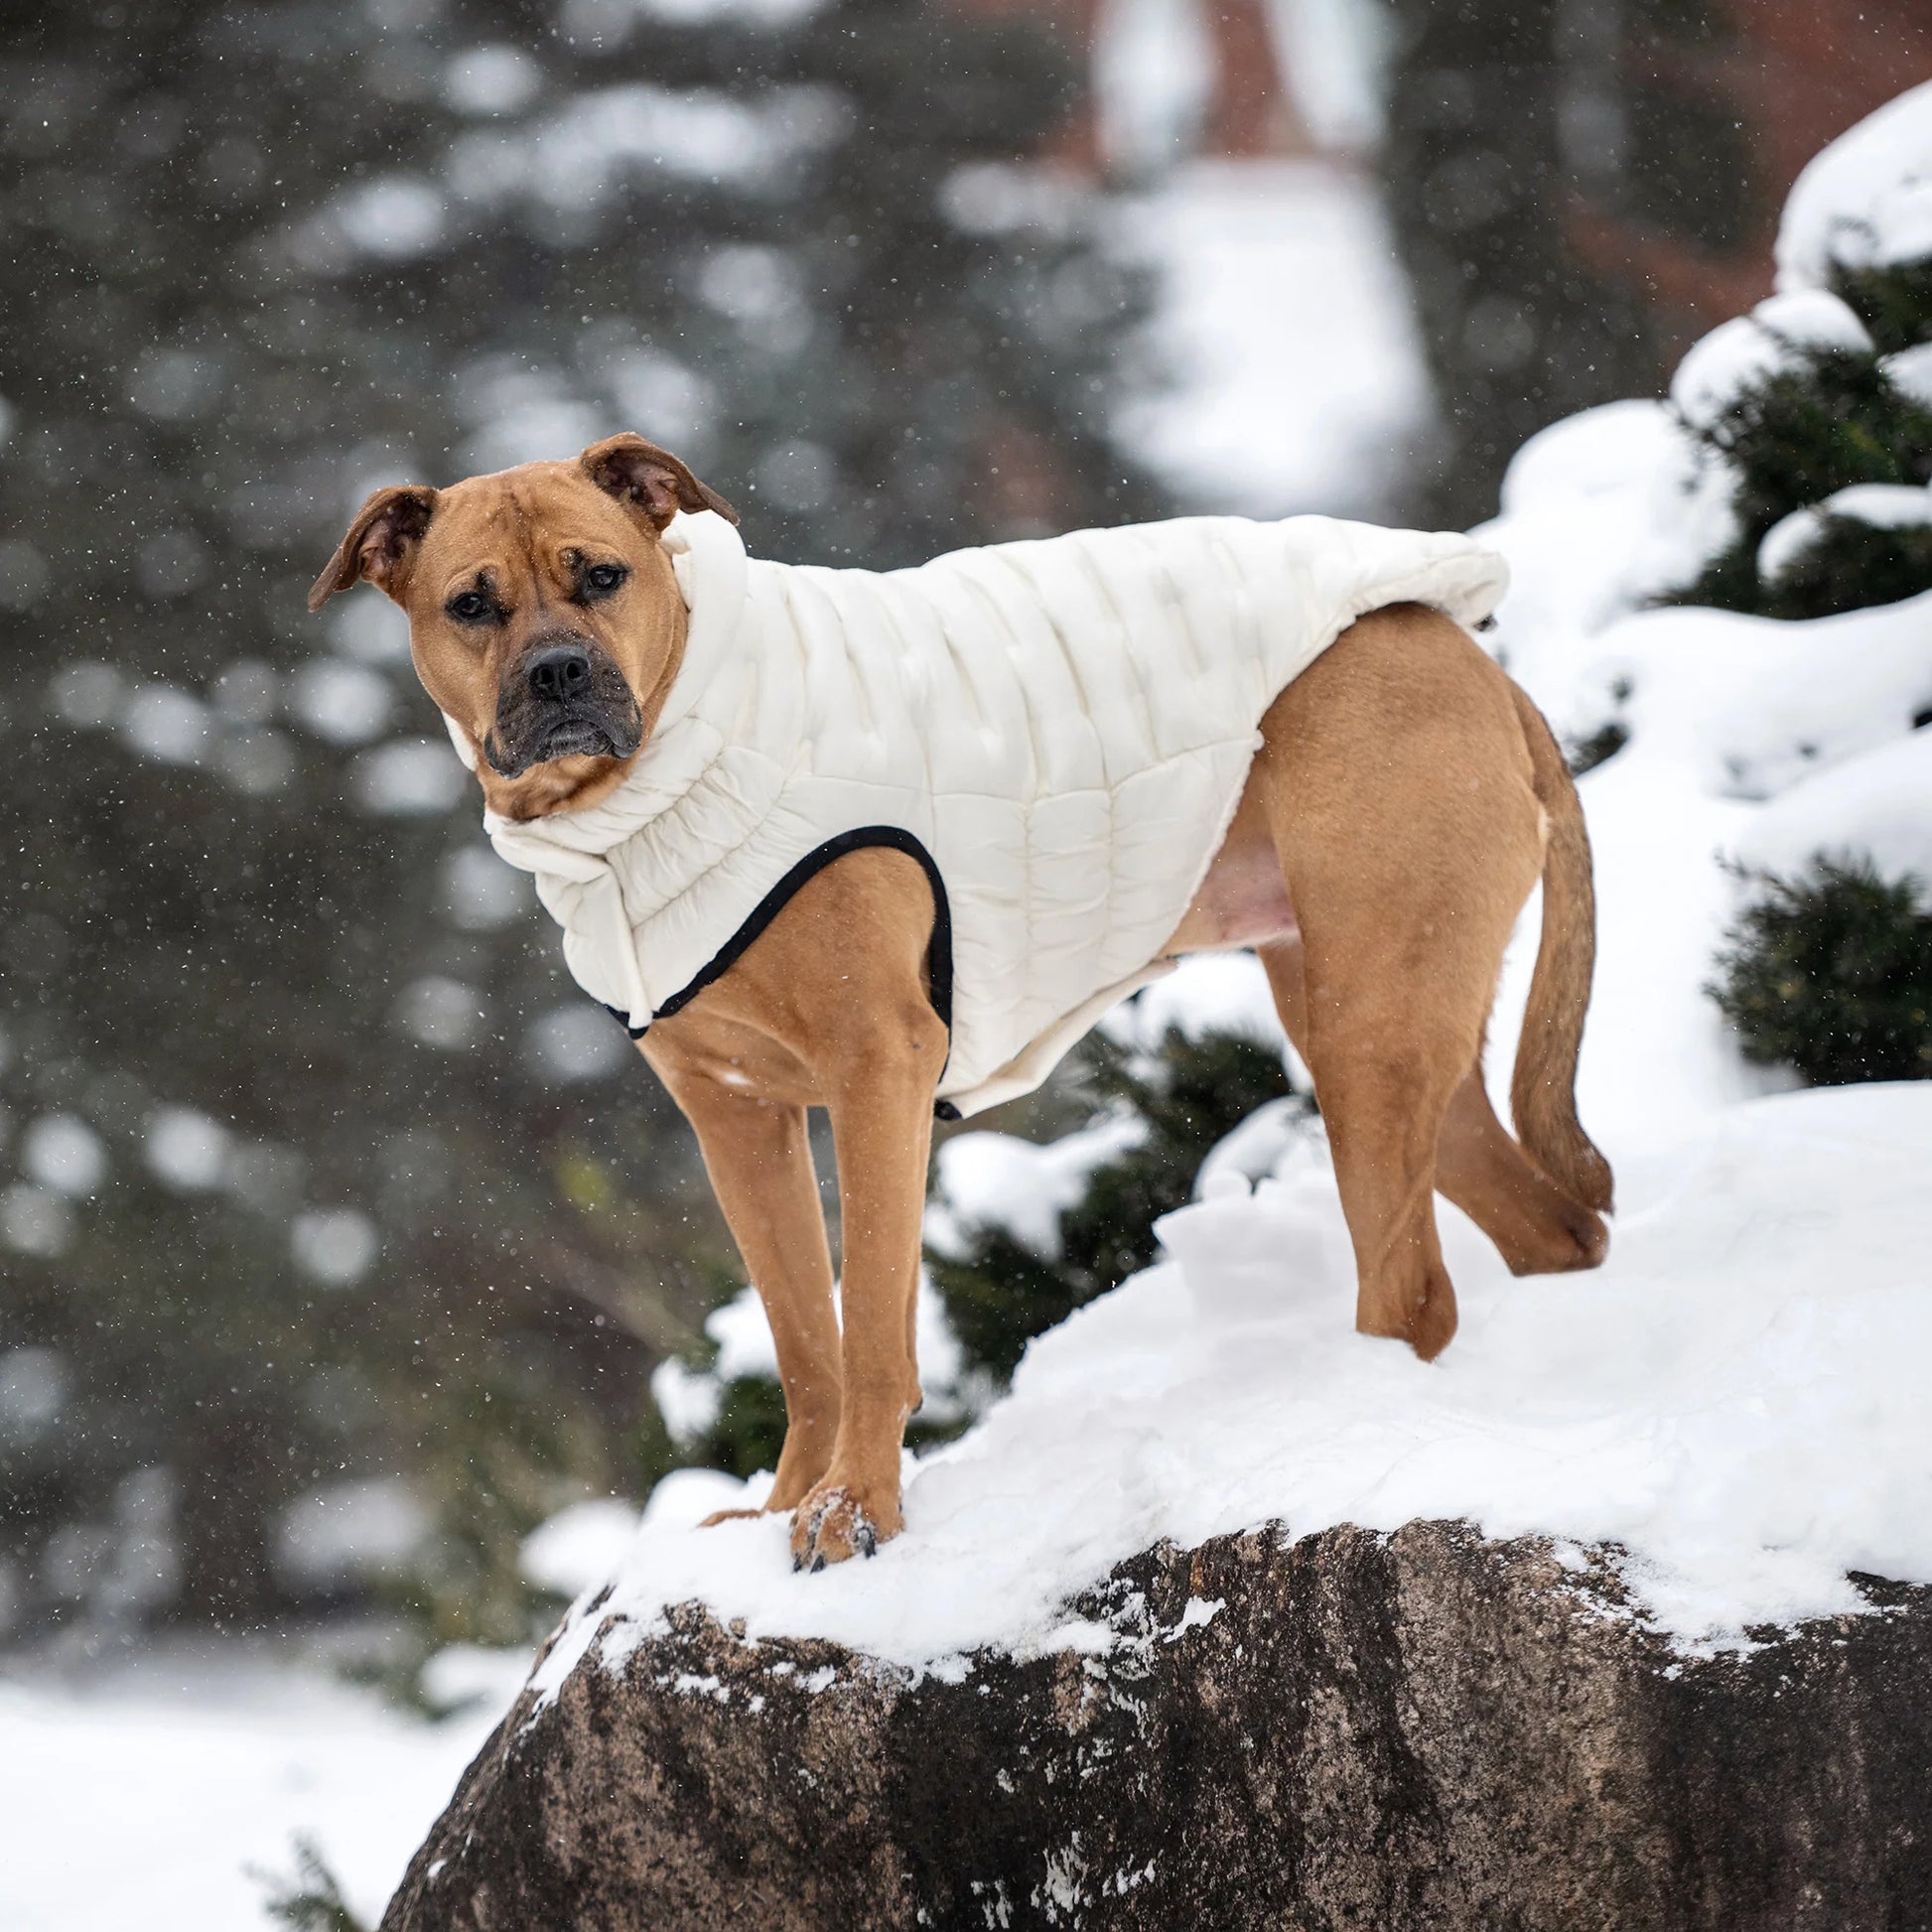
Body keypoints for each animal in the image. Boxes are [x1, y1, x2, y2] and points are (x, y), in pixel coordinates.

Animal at [321, 434, 1614, 1569]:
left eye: (601, 574)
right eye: (470, 604)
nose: (558, 672)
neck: (667, 770)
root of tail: (1464, 652)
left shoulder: (876, 1070)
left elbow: (869, 1329)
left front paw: (852, 1512)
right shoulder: (736, 1115)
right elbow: (803, 1338)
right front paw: (778, 1507)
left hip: (1370, 1019)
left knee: (1412, 1288)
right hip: (1375, 1019)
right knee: (1549, 1232)